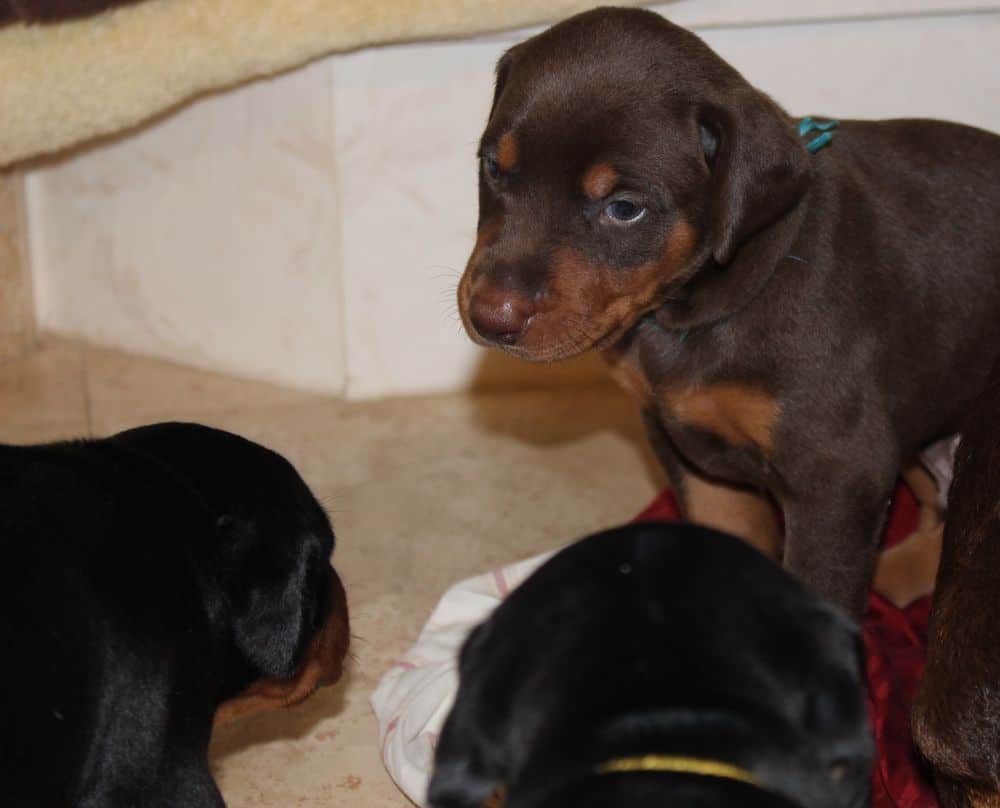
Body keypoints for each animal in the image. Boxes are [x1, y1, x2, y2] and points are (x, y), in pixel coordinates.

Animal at [458, 6, 1000, 616]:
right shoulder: (689, 452)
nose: (491, 317)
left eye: (624, 208)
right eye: (493, 166)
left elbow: (825, 588)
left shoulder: (838, 474)